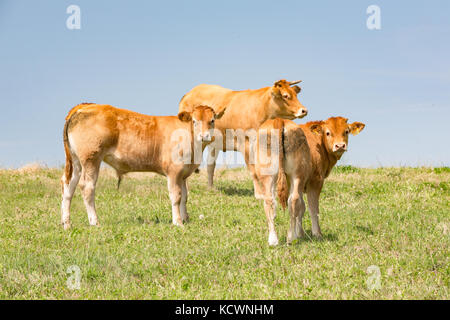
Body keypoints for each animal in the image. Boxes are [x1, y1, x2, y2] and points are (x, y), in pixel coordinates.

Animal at [60, 104, 223, 229]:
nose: (204, 136)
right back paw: (94, 222)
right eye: (195, 121)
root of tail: (85, 106)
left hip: (76, 162)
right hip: (91, 159)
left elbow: (185, 196)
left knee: (69, 186)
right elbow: (176, 196)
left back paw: (66, 224)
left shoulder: (183, 174)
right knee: (87, 187)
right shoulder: (173, 172)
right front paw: (178, 222)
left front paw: (185, 218)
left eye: (212, 120)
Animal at [179, 80, 310, 195]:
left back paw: (211, 188)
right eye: (285, 96)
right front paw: (259, 194)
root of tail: (189, 93)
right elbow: (253, 170)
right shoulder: (245, 143)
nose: (304, 110)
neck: (261, 109)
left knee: (211, 165)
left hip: (213, 143)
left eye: (295, 95)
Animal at [255, 117, 364, 245]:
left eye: (346, 131)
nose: (340, 146)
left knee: (270, 201)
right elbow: (313, 208)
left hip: (268, 176)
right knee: (293, 200)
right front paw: (316, 233)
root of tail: (280, 120)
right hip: (297, 175)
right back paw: (291, 237)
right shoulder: (315, 181)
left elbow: (302, 208)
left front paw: (300, 233)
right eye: (328, 133)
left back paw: (273, 240)